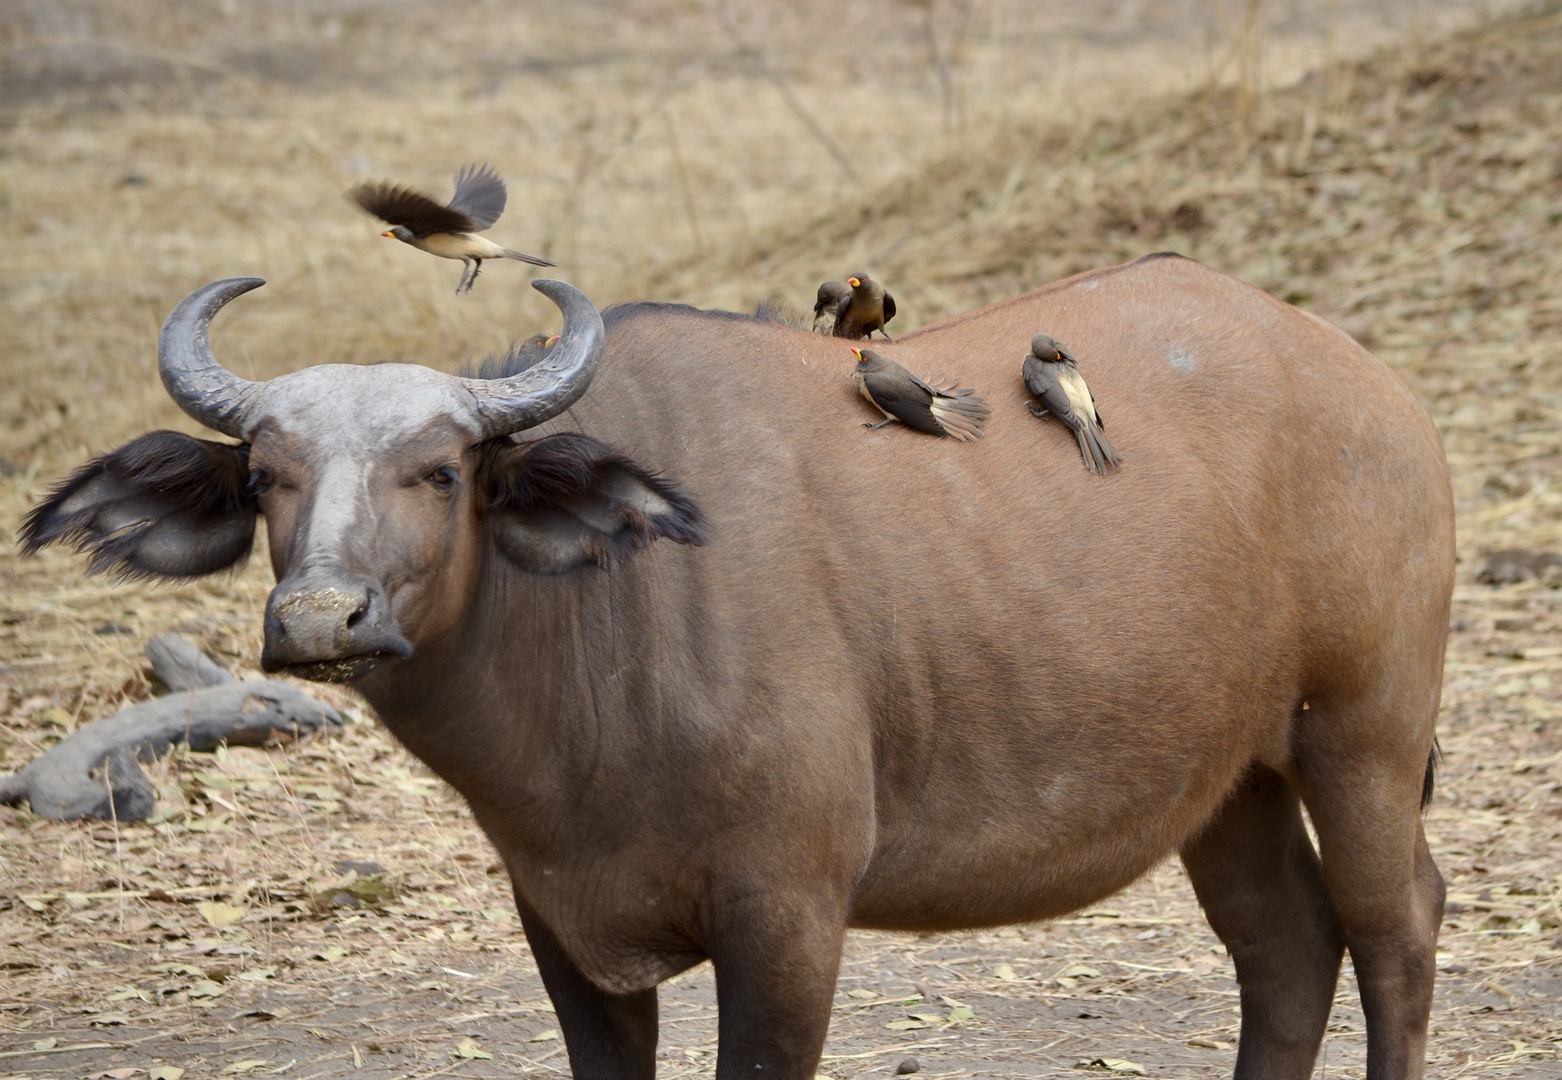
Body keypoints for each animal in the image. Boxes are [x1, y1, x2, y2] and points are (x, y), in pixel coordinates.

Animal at [21, 257, 1449, 1080]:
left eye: (437, 471)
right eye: (267, 476)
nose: (321, 620)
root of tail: (1372, 388)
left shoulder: (788, 921)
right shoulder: (564, 929)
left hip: (1362, 735)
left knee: (1396, 928)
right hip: (1229, 777)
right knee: (1285, 947)